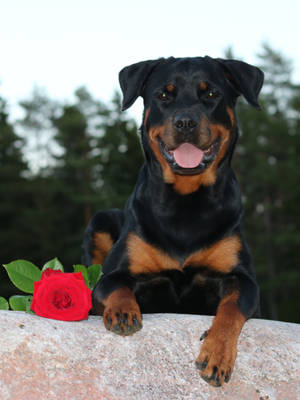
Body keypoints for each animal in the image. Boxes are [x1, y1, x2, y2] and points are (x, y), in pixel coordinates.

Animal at [82, 57, 262, 388]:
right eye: (164, 95)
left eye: (211, 94)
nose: (185, 122)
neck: (185, 201)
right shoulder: (113, 275)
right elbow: (115, 285)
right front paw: (123, 312)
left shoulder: (244, 280)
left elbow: (231, 308)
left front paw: (217, 355)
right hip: (100, 220)